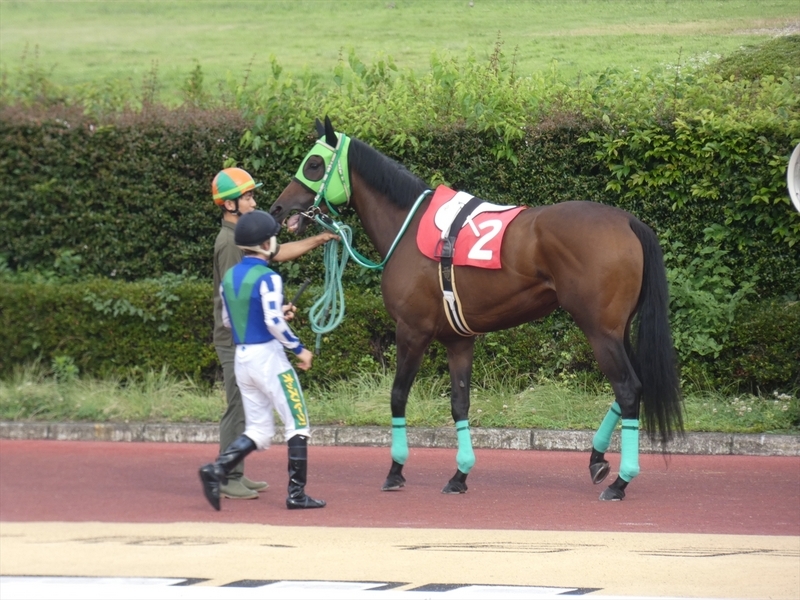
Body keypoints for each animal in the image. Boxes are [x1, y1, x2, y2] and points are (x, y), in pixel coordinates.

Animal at [270, 117, 683, 501]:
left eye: (314, 165)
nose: (277, 207)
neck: (408, 229)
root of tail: (627, 221)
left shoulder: (412, 331)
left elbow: (398, 395)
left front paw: (395, 470)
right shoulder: (458, 339)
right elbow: (460, 403)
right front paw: (460, 475)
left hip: (600, 331)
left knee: (628, 389)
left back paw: (620, 481)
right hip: (618, 329)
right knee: (634, 386)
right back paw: (597, 460)